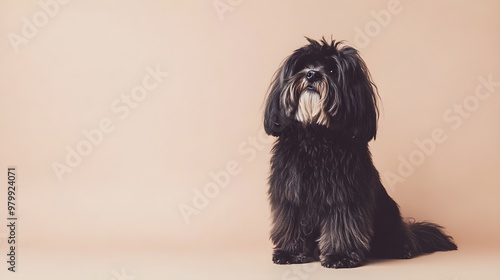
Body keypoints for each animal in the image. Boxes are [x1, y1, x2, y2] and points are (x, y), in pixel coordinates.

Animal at [266, 38, 458, 268]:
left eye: (332, 70)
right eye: (303, 65)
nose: (312, 74)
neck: (316, 136)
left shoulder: (345, 195)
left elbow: (342, 225)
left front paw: (340, 255)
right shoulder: (289, 193)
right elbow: (291, 222)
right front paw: (291, 253)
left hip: (388, 218)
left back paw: (401, 249)